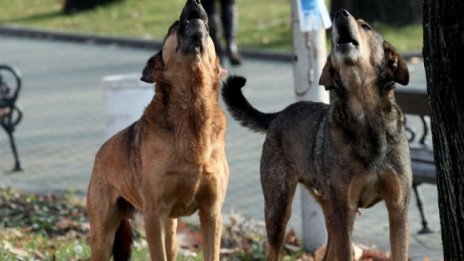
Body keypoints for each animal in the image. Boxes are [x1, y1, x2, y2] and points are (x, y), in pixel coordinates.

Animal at [86, 1, 229, 258]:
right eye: (174, 25)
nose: (195, 3)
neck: (193, 110)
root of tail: (100, 153)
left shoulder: (211, 214)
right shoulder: (154, 214)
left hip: (171, 231)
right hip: (103, 235)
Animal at [223, 9, 412, 258]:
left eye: (366, 26)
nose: (340, 13)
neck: (365, 118)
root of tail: (280, 114)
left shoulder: (397, 208)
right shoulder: (344, 210)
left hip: (326, 208)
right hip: (279, 209)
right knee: (274, 251)